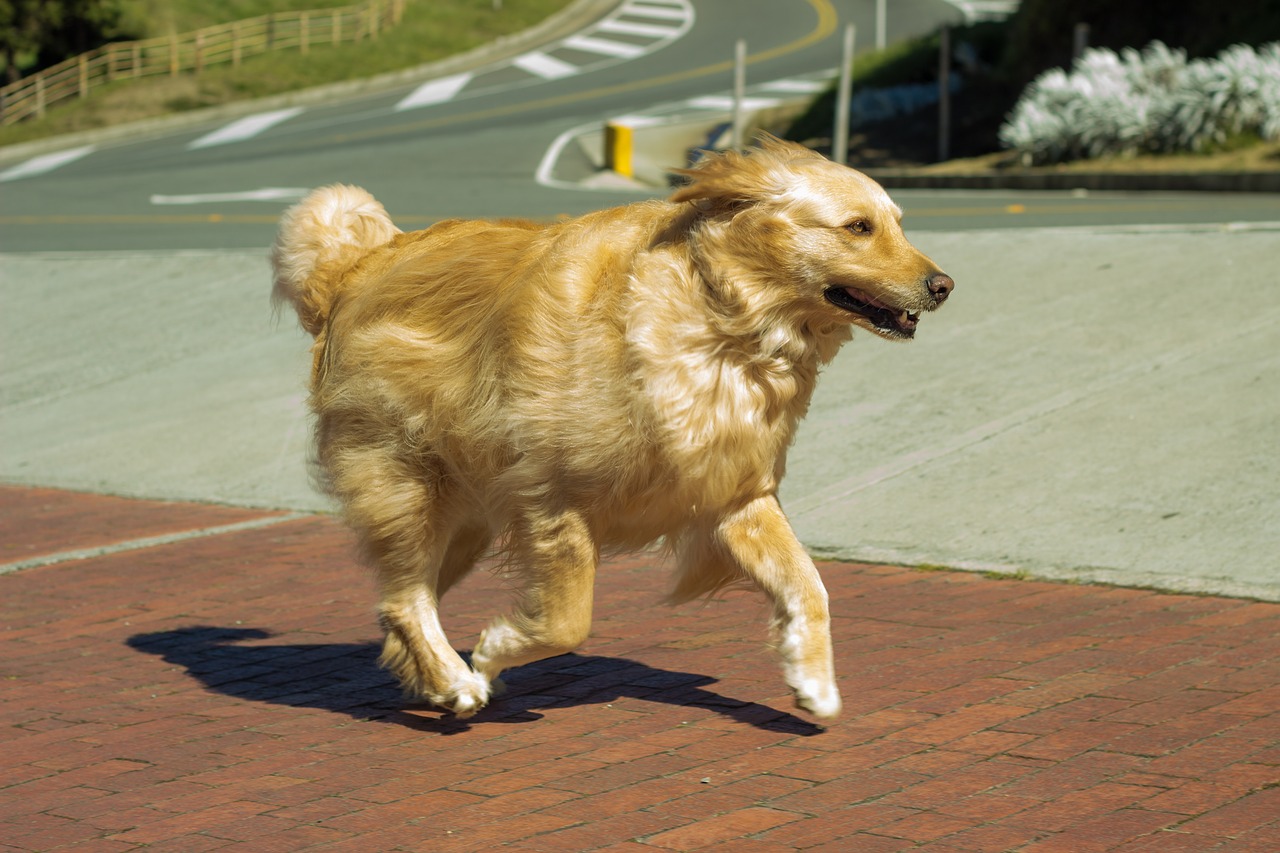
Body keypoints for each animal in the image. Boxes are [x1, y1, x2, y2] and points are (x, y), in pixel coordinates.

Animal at [270, 137, 952, 717]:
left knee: (398, 606)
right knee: (405, 599)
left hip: (463, 518)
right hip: (411, 488)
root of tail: (355, 268)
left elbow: (810, 586)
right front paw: (495, 650)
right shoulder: (552, 501)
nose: (944, 285)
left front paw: (812, 681)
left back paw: (434, 682)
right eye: (858, 227)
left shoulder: (737, 495)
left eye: (898, 222)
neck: (721, 320)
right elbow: (568, 621)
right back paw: (457, 682)